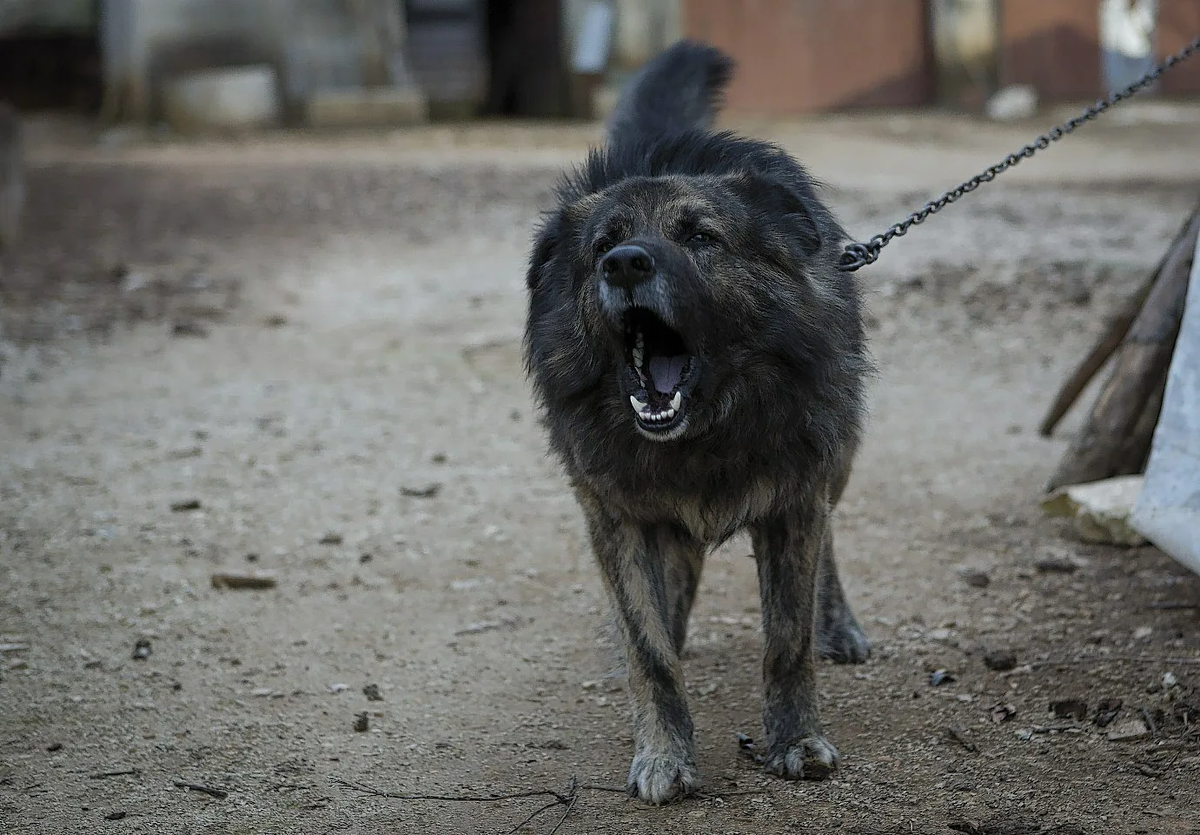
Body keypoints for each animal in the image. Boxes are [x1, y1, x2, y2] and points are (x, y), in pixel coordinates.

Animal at [525, 42, 873, 806]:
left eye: (700, 237)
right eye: (603, 244)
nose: (626, 264)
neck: (705, 431)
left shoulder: (794, 499)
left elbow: (787, 641)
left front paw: (796, 740)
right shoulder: (616, 513)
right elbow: (649, 648)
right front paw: (663, 752)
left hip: (837, 455)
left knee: (831, 540)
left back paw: (840, 624)